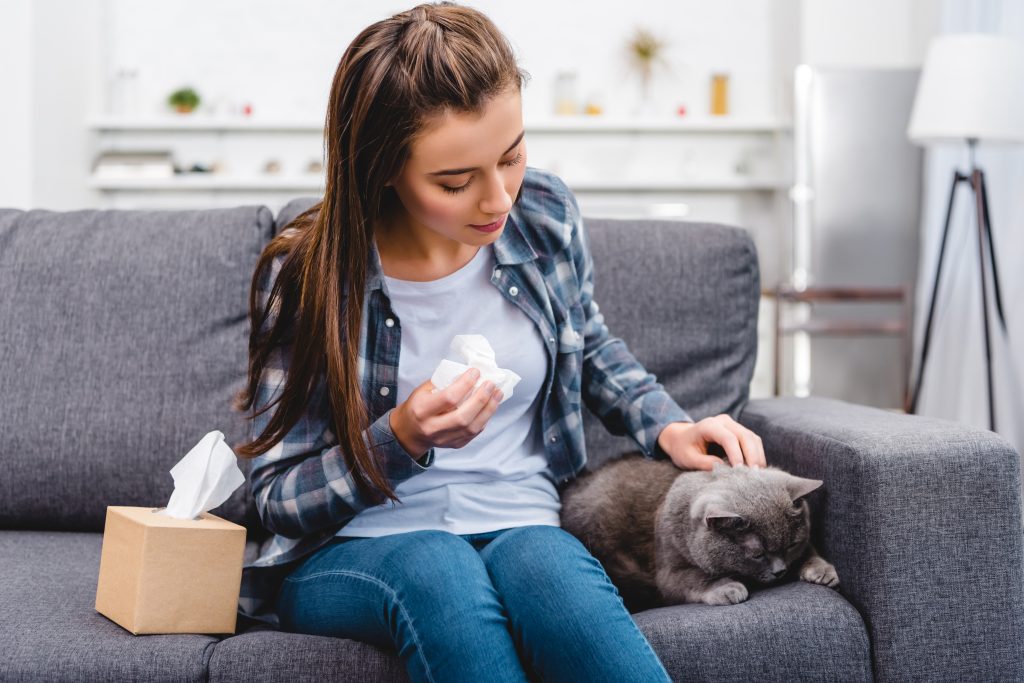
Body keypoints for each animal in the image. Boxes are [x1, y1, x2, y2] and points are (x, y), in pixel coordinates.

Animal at [561, 454, 839, 610]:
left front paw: (821, 570)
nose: (780, 571)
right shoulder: (668, 572)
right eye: (757, 554)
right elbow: (695, 578)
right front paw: (727, 588)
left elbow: (810, 550)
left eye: (791, 544)